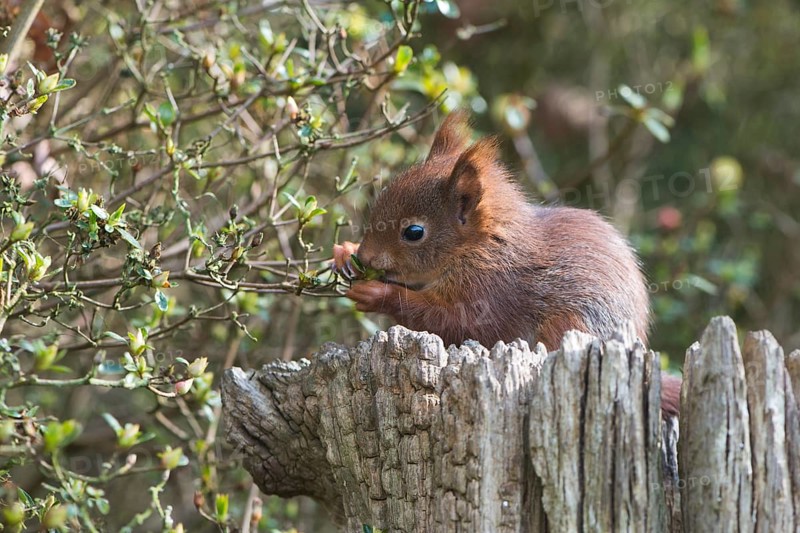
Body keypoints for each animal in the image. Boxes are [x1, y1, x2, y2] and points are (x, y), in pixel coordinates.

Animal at [333, 112, 681, 416]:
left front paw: (376, 293)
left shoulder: (494, 292)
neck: (478, 247)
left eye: (414, 232)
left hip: (572, 325)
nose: (367, 257)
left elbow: (454, 322)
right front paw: (344, 253)